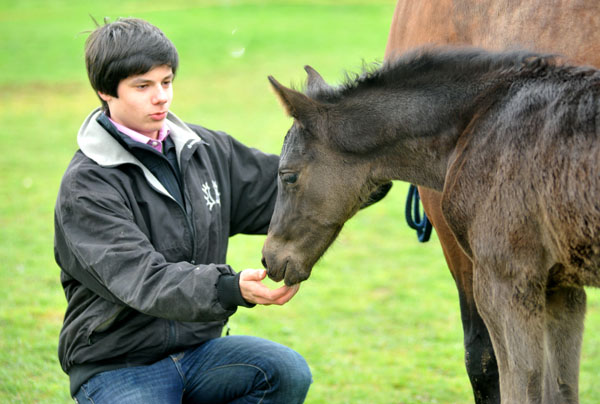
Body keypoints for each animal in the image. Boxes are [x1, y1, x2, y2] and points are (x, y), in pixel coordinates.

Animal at [264, 48, 600, 404]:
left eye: (288, 175)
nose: (269, 258)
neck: (479, 124)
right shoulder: (561, 287)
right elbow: (562, 388)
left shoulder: (507, 280)